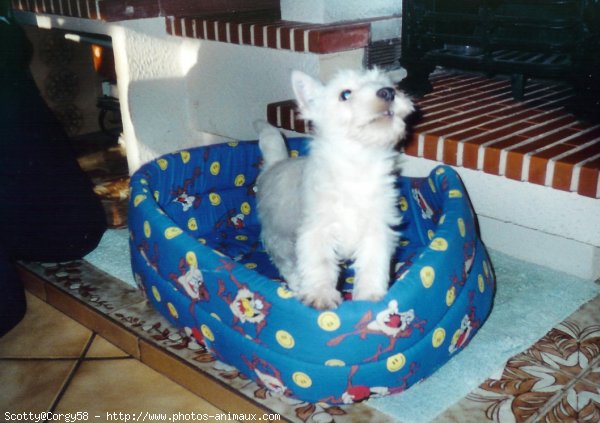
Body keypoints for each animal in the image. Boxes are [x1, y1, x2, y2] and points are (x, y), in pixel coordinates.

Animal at [255, 68, 414, 310]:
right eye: (345, 94)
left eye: (388, 85)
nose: (388, 92)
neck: (358, 163)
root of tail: (275, 163)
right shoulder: (317, 230)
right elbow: (319, 263)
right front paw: (320, 295)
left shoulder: (376, 229)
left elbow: (373, 262)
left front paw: (369, 295)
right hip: (278, 234)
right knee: (285, 262)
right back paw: (298, 284)